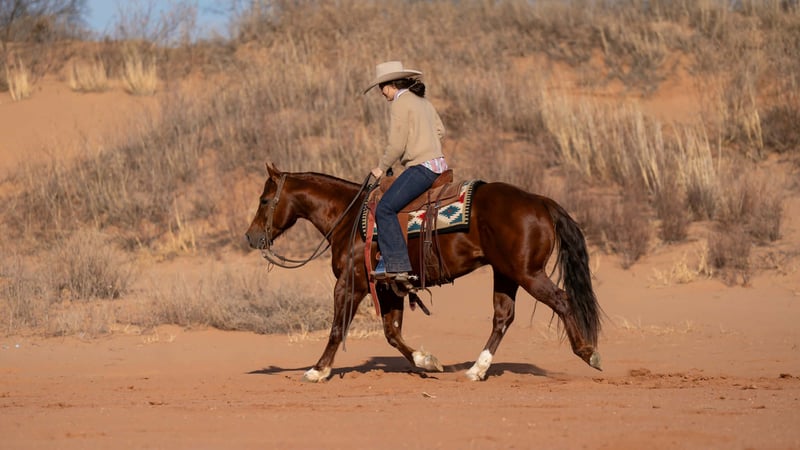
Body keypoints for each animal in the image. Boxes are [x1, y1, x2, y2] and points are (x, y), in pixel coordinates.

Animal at [245, 162, 602, 382]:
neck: (349, 216)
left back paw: (588, 353)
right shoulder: (387, 287)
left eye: (264, 199)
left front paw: (318, 370)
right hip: (506, 273)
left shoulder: (350, 284)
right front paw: (427, 360)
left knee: (562, 300)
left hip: (528, 273)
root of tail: (539, 201)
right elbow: (392, 333)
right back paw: (477, 369)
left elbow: (337, 329)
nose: (251, 236)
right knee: (503, 316)